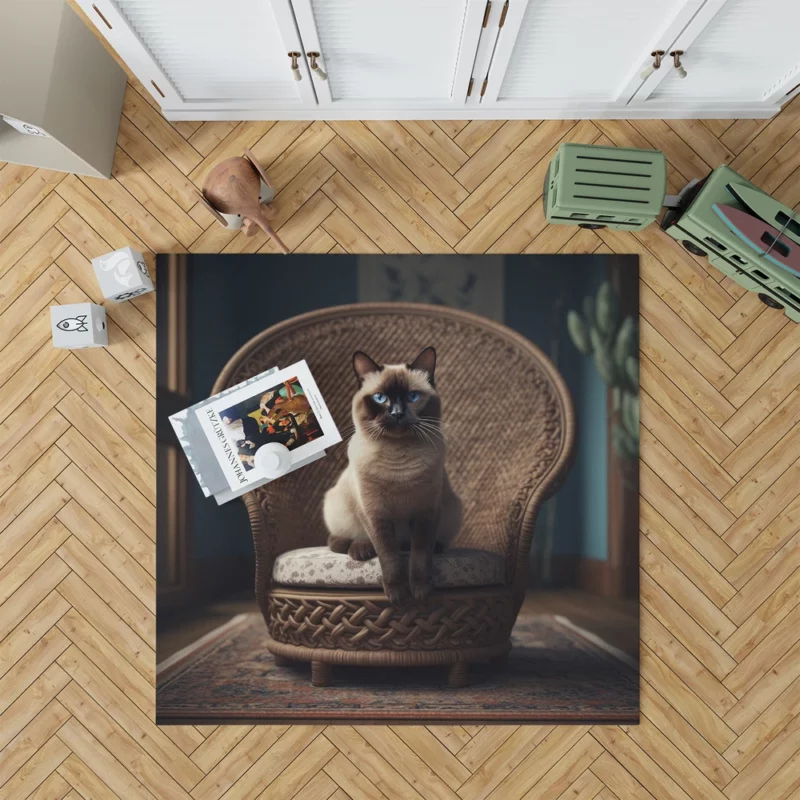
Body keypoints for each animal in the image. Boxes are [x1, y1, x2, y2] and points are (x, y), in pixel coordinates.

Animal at [324, 346, 462, 604]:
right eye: (380, 398)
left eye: (412, 397)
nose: (397, 413)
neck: (399, 462)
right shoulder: (375, 513)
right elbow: (389, 555)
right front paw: (397, 594)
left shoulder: (426, 512)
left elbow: (420, 554)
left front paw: (420, 591)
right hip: (339, 504)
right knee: (341, 539)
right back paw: (361, 549)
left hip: (453, 509)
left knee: (416, 545)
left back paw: (433, 547)